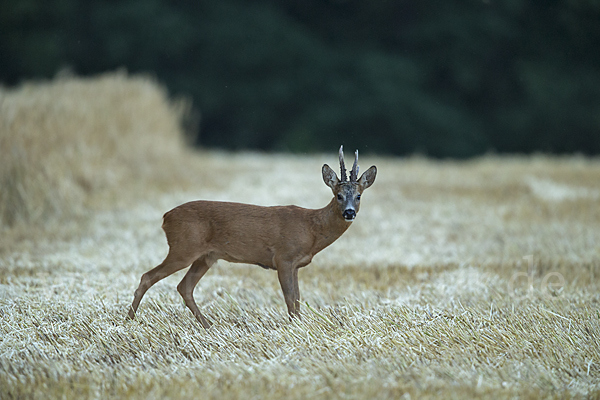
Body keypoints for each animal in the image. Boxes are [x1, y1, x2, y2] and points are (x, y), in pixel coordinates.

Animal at [127, 147, 376, 328]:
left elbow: (296, 299)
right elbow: (290, 299)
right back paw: (129, 320)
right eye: (339, 195)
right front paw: (296, 328)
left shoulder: (295, 264)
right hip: (183, 247)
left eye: (359, 196)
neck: (311, 229)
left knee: (184, 286)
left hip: (205, 256)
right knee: (148, 276)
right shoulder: (284, 257)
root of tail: (166, 217)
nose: (349, 212)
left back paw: (208, 325)